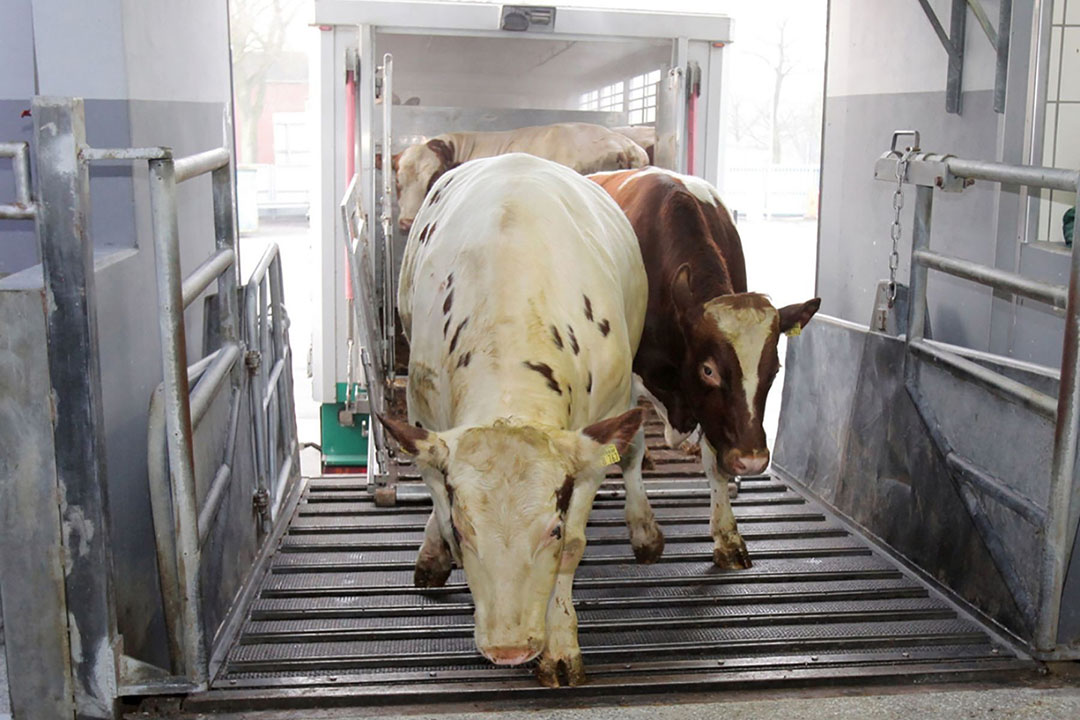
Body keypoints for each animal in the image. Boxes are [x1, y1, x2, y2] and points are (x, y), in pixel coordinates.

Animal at [380, 153, 648, 686]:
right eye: (466, 532)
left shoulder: (595, 438)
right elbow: (438, 502)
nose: (509, 651)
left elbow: (576, 545)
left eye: (552, 530)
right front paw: (438, 547)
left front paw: (560, 645)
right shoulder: (423, 415)